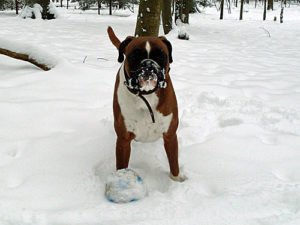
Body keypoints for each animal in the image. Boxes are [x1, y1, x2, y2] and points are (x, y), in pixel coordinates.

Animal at [106, 26, 184, 181]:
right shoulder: (123, 140)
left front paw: (176, 180)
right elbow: (122, 165)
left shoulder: (170, 136)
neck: (147, 94)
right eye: (135, 56)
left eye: (160, 55)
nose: (148, 64)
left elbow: (174, 163)